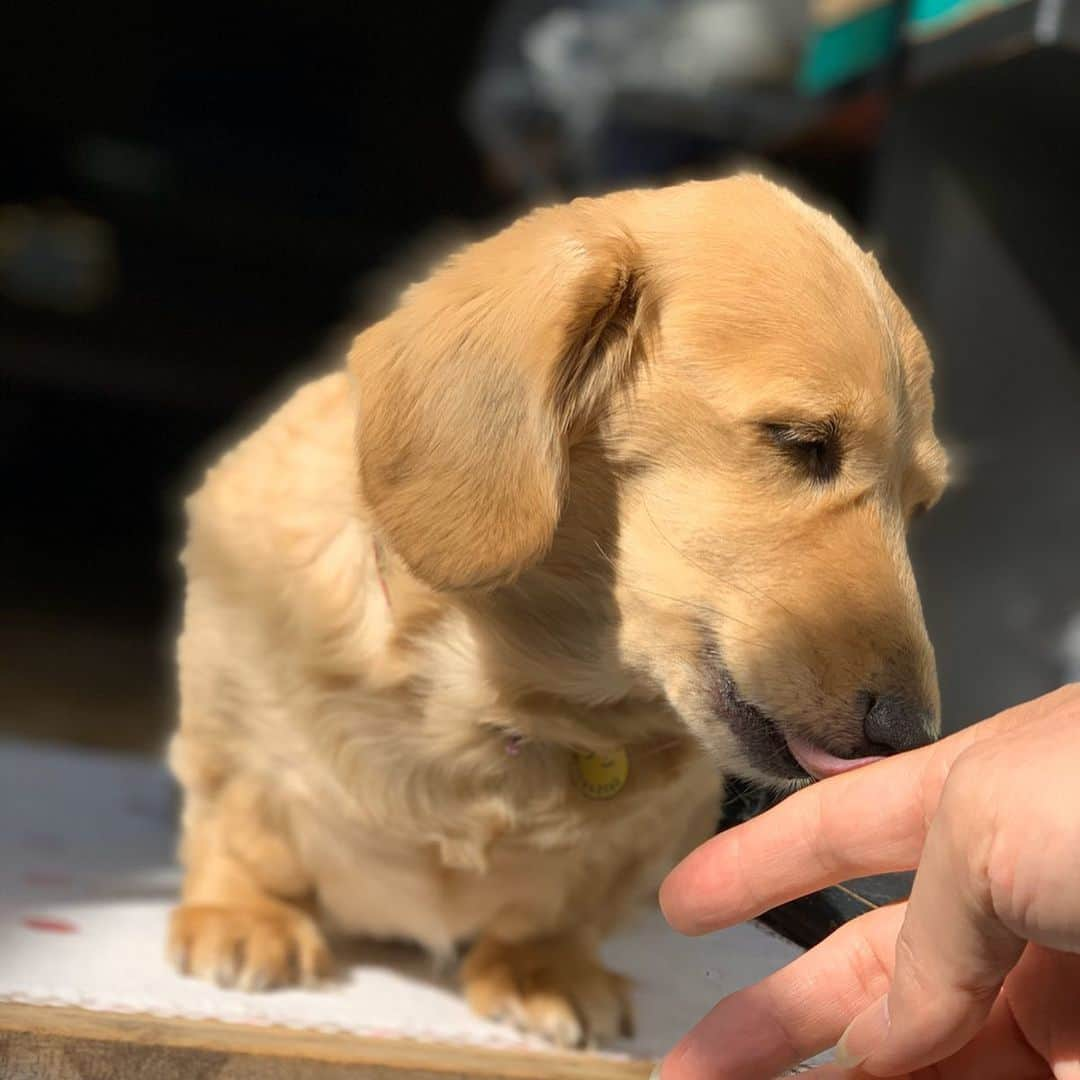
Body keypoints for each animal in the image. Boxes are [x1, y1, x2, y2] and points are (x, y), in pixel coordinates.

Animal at [166, 174, 946, 1045]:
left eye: (921, 504)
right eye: (801, 441)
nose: (911, 737)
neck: (503, 707)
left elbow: (562, 912)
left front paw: (542, 967)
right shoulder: (231, 737)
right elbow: (239, 827)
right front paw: (243, 914)